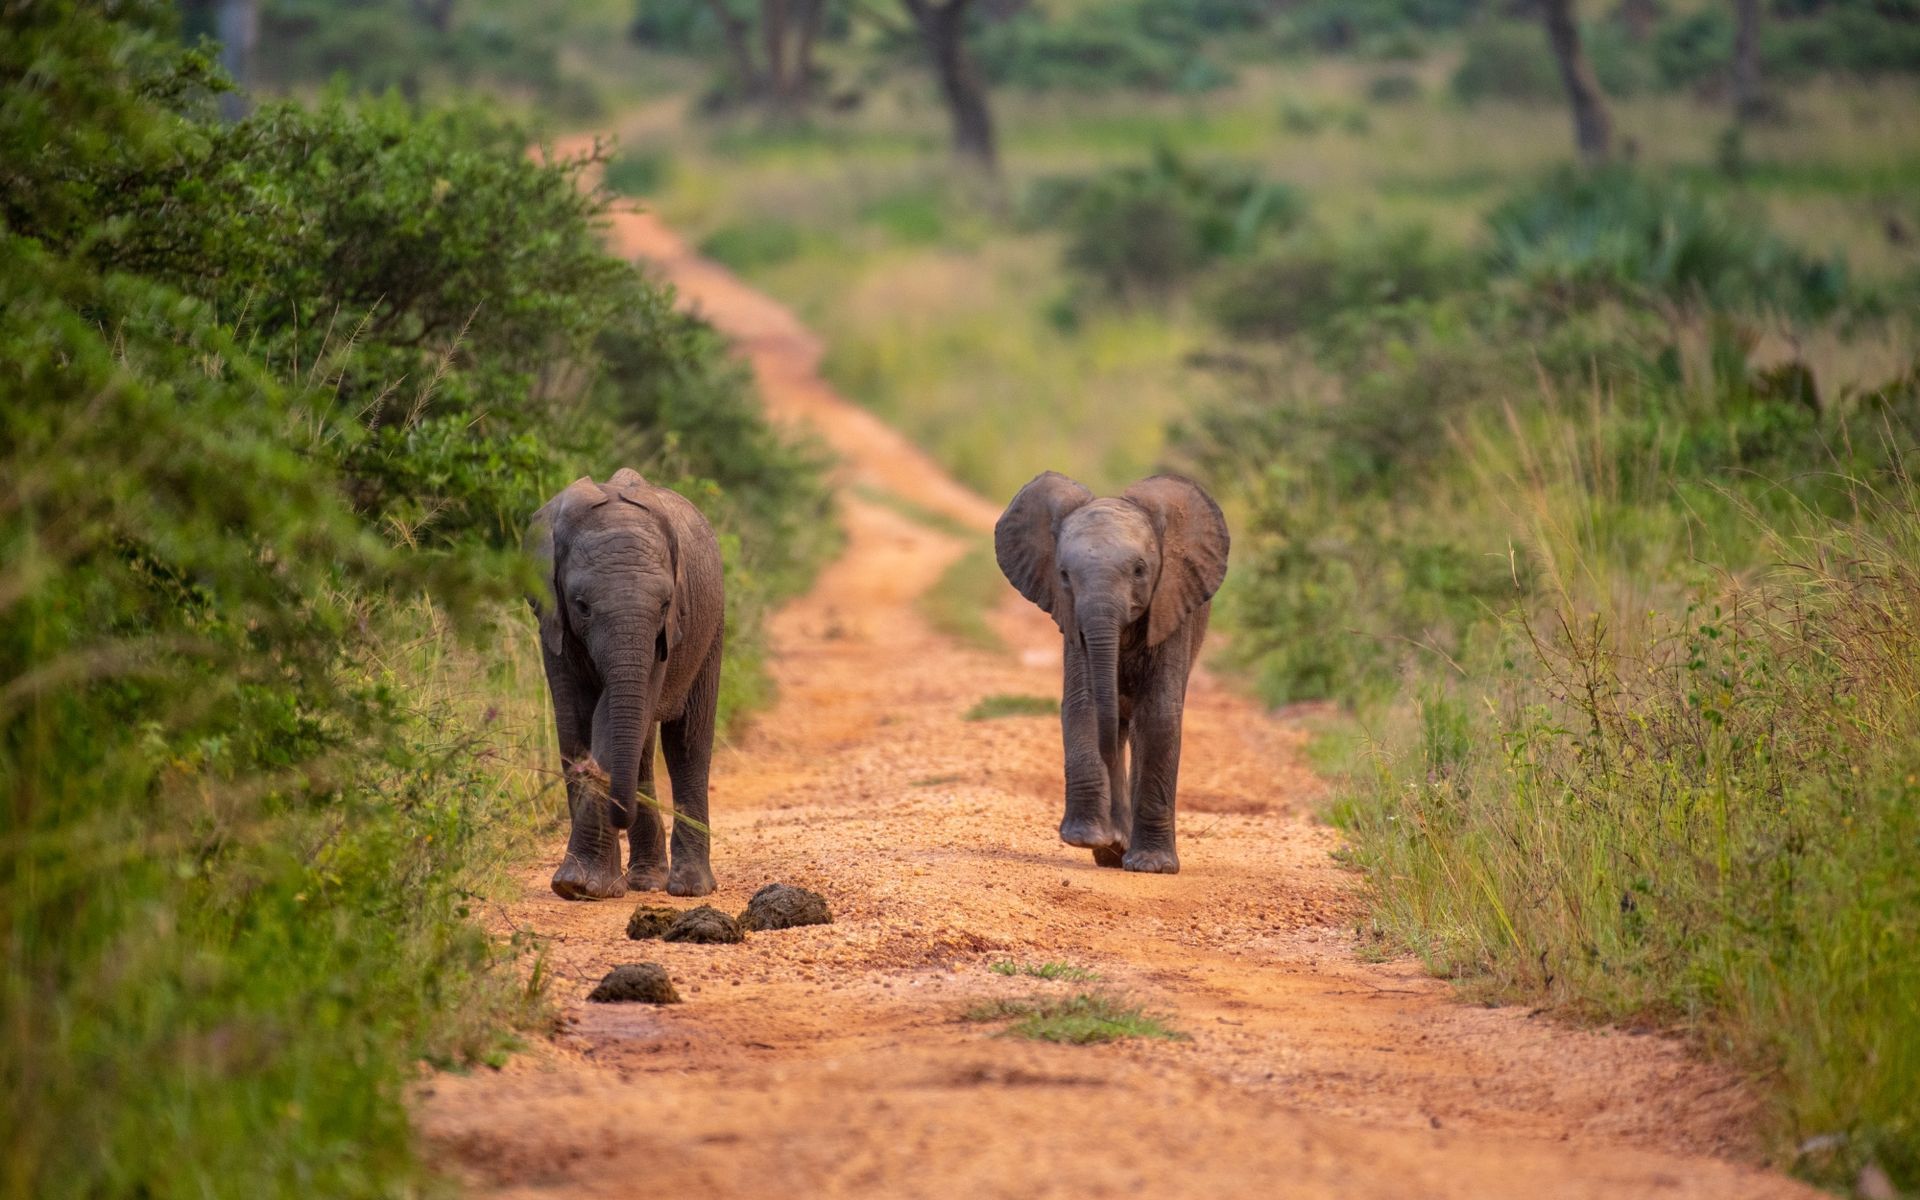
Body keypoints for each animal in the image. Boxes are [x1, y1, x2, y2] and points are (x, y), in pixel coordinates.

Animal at [527, 469, 726, 899]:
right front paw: (579, 886)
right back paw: (647, 880)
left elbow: (606, 716)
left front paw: (580, 885)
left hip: (712, 626)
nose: (621, 812)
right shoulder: (554, 622)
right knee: (643, 749)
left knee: (687, 741)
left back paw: (688, 888)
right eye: (582, 606)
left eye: (665, 605)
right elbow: (576, 720)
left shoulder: (665, 634)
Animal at [994, 472, 1229, 874]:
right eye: (1063, 575)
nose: (1112, 838)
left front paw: (1152, 866)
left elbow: (1158, 716)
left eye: (1139, 571)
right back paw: (1112, 852)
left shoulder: (1170, 607)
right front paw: (1085, 838)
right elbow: (1084, 703)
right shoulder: (1073, 621)